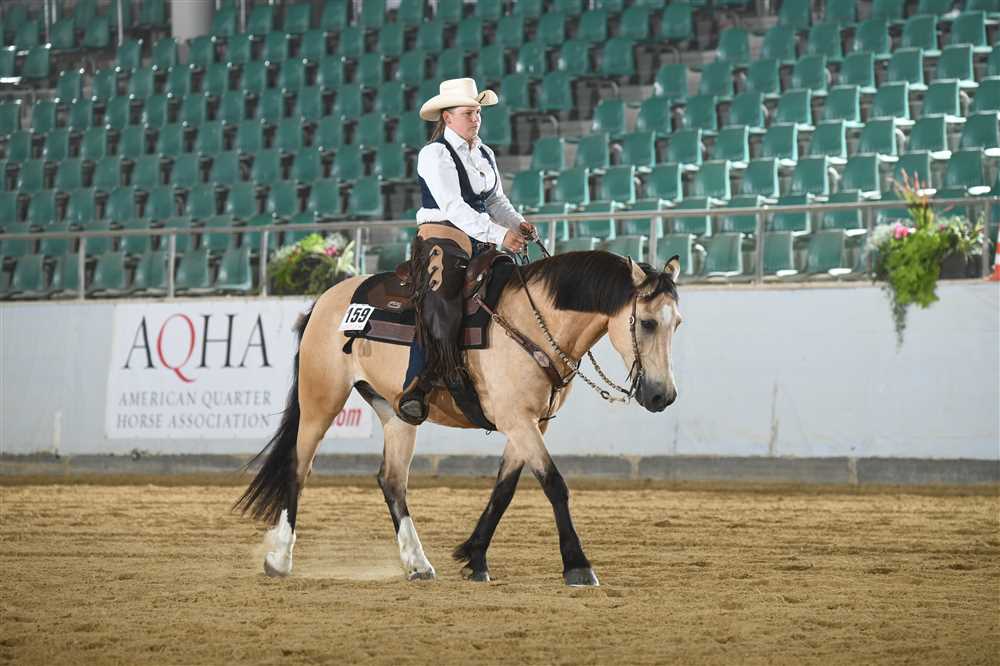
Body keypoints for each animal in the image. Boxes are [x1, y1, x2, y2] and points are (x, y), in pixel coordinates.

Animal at [235, 250, 683, 586]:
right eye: (646, 322)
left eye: (677, 323)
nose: (662, 395)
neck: (531, 324)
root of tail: (325, 301)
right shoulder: (517, 421)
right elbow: (555, 484)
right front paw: (577, 566)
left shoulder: (531, 424)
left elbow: (504, 491)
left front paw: (475, 558)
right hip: (320, 400)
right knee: (298, 468)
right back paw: (279, 558)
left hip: (396, 413)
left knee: (391, 481)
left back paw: (418, 563)